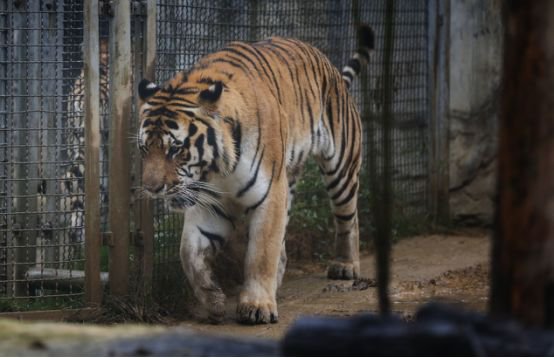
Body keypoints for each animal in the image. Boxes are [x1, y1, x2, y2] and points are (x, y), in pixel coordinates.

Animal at [136, 25, 374, 324]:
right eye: (145, 148)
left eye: (175, 149)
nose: (151, 188)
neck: (217, 169)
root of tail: (330, 68)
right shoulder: (210, 204)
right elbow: (189, 253)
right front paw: (213, 301)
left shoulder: (269, 194)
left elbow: (261, 254)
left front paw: (257, 306)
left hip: (341, 166)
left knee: (348, 217)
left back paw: (345, 265)